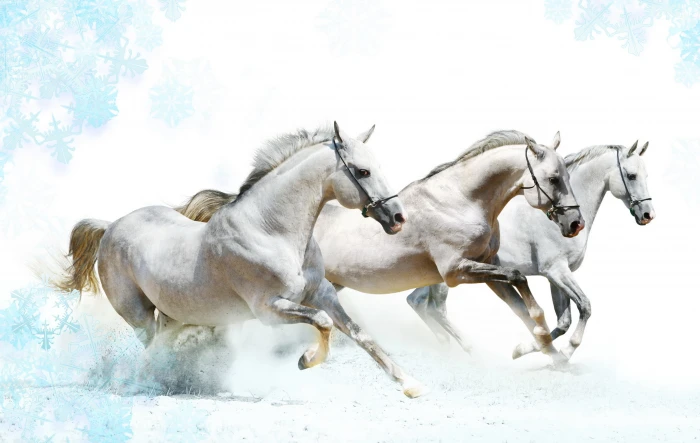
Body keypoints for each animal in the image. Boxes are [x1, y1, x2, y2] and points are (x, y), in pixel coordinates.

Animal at [56, 122, 430, 398]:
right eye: (362, 171)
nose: (398, 218)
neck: (271, 230)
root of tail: (110, 226)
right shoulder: (269, 309)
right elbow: (323, 323)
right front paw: (306, 361)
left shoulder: (321, 293)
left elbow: (358, 333)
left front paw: (411, 385)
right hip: (138, 316)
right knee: (152, 347)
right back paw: (153, 382)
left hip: (174, 314)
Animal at [174, 130, 584, 361]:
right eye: (553, 177)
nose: (575, 223)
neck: (461, 199)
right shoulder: (456, 272)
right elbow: (519, 278)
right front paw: (543, 343)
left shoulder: (484, 270)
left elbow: (521, 299)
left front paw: (547, 353)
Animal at [407, 141, 654, 361]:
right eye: (631, 175)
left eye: (646, 176)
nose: (647, 215)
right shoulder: (556, 271)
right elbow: (584, 306)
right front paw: (563, 352)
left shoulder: (556, 276)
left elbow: (563, 321)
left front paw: (527, 349)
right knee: (436, 309)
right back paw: (469, 350)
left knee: (416, 301)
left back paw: (445, 345)